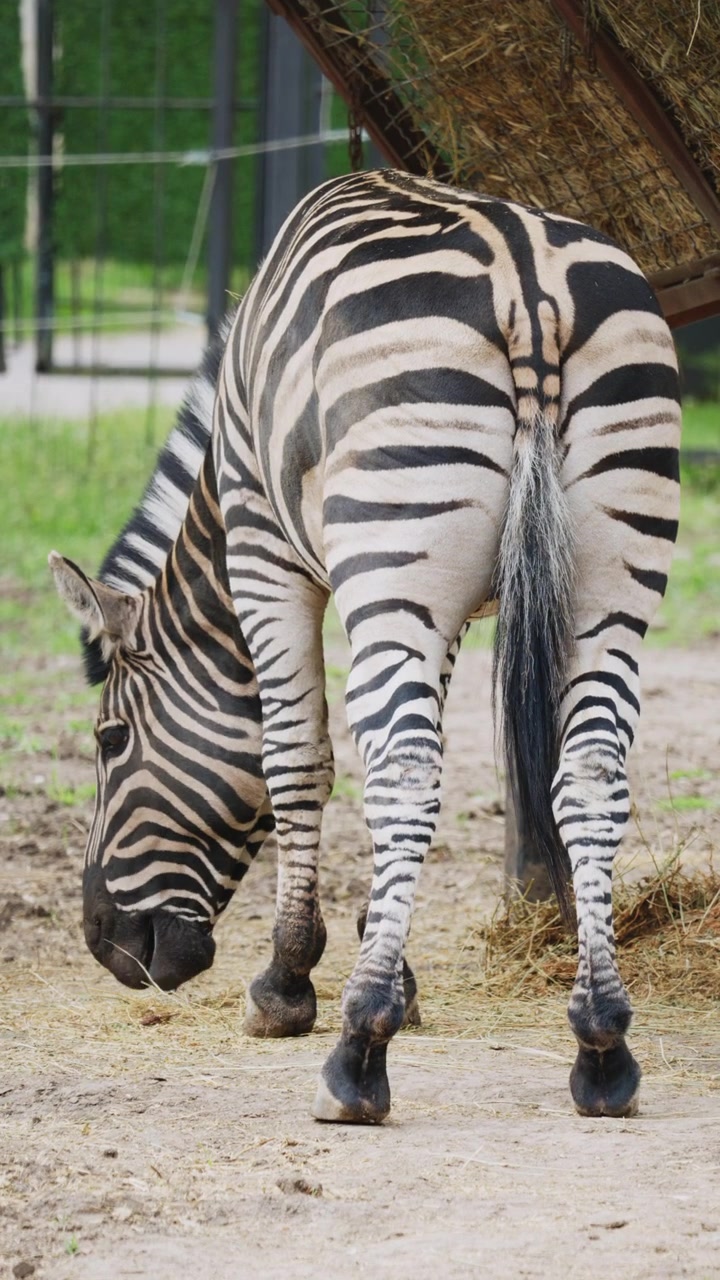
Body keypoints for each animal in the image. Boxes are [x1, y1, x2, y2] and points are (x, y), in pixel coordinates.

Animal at [51, 169, 681, 1125]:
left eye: (109, 740)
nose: (103, 943)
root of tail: (530, 286)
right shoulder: (441, 612)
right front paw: (396, 965)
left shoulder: (265, 546)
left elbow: (297, 760)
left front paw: (289, 981)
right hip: (607, 574)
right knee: (590, 775)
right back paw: (603, 1045)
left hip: (396, 546)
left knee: (406, 773)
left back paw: (358, 1050)